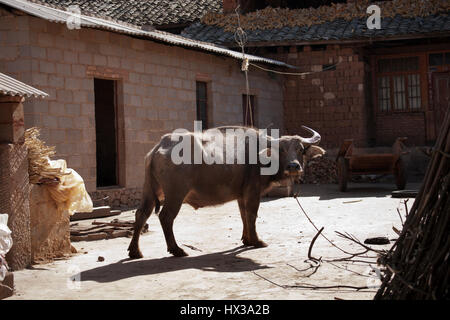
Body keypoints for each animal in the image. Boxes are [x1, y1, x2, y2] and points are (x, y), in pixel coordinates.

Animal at [127, 125, 324, 258]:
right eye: (281, 150)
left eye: (300, 149)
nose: (293, 166)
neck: (259, 157)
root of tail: (158, 148)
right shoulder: (253, 191)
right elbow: (252, 214)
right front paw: (256, 241)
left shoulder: (241, 195)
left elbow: (243, 215)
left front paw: (246, 239)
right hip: (176, 193)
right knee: (166, 217)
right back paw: (176, 249)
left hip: (150, 190)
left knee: (141, 214)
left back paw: (135, 251)